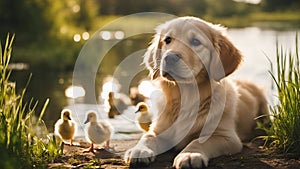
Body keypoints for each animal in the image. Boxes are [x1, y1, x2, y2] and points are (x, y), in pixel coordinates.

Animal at [124, 16, 270, 168]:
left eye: (195, 42)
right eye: (168, 40)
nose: (169, 57)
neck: (186, 95)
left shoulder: (227, 137)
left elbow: (199, 141)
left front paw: (189, 154)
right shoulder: (159, 129)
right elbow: (147, 137)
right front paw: (140, 149)